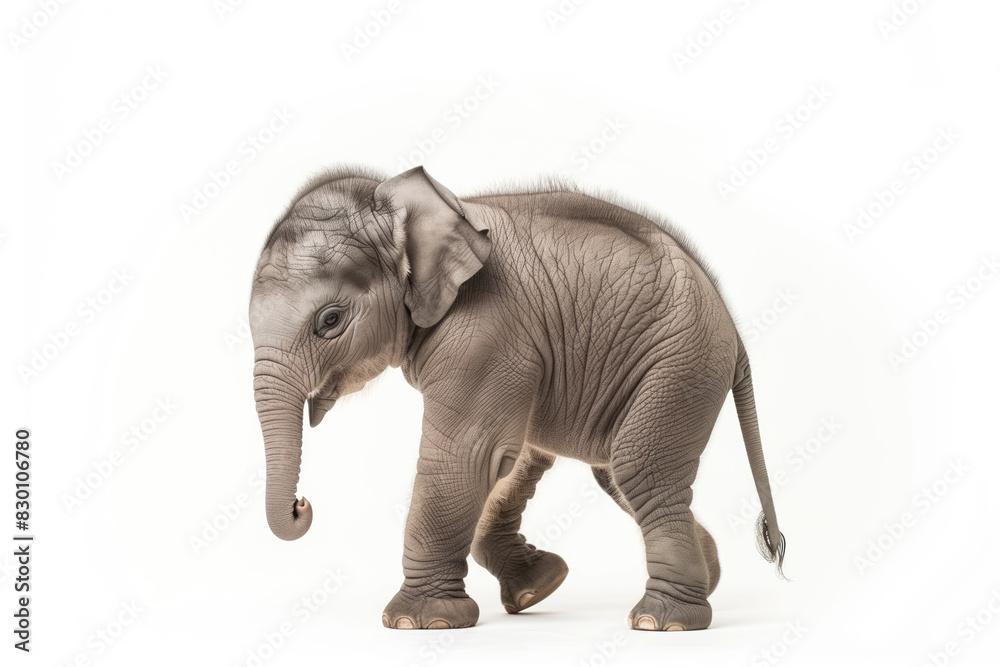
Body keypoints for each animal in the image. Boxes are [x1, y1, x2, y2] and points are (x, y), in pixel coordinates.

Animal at [248, 165, 785, 632]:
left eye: (330, 321)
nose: (302, 504)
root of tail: (732, 326)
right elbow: (495, 462)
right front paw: (535, 590)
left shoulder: (486, 329)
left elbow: (465, 456)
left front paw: (415, 622)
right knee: (605, 472)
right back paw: (701, 580)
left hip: (681, 362)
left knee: (638, 468)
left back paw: (661, 622)